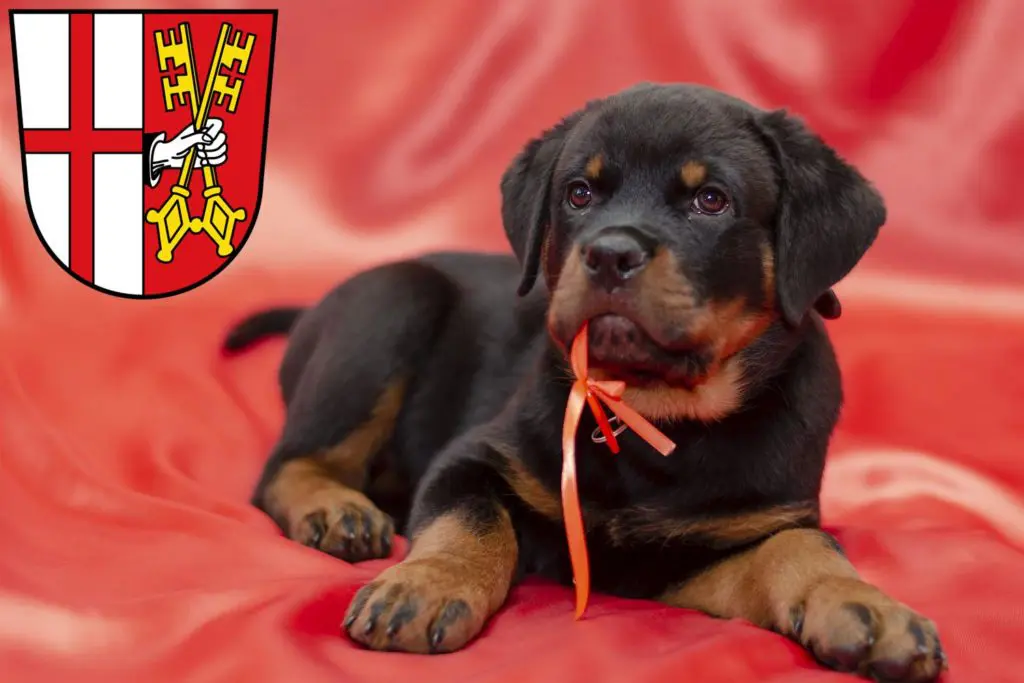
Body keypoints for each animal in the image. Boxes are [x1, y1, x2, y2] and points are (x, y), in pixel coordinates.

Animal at [228, 82, 946, 679]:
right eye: (580, 192)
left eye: (710, 200)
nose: (609, 253)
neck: (651, 412)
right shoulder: (472, 456)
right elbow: (470, 520)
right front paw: (423, 585)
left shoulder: (694, 549)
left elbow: (797, 545)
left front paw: (866, 607)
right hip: (391, 302)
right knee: (287, 464)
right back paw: (337, 510)